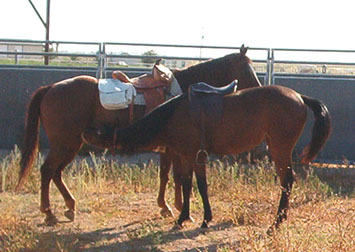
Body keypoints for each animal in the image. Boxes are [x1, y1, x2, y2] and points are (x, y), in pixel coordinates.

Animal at [15, 45, 262, 224]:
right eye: (246, 69)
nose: (259, 87)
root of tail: (51, 88)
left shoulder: (170, 148)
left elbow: (166, 175)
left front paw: (166, 206)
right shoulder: (175, 148)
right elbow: (176, 176)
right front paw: (179, 208)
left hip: (71, 143)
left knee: (56, 173)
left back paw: (69, 207)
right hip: (64, 143)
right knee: (48, 170)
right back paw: (49, 213)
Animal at [82, 85, 332, 231]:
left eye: (99, 132)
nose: (84, 132)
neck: (173, 115)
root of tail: (299, 96)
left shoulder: (195, 155)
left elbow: (200, 185)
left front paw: (204, 219)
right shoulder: (184, 156)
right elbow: (186, 184)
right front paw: (183, 217)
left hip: (280, 148)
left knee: (287, 181)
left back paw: (277, 222)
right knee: (286, 182)